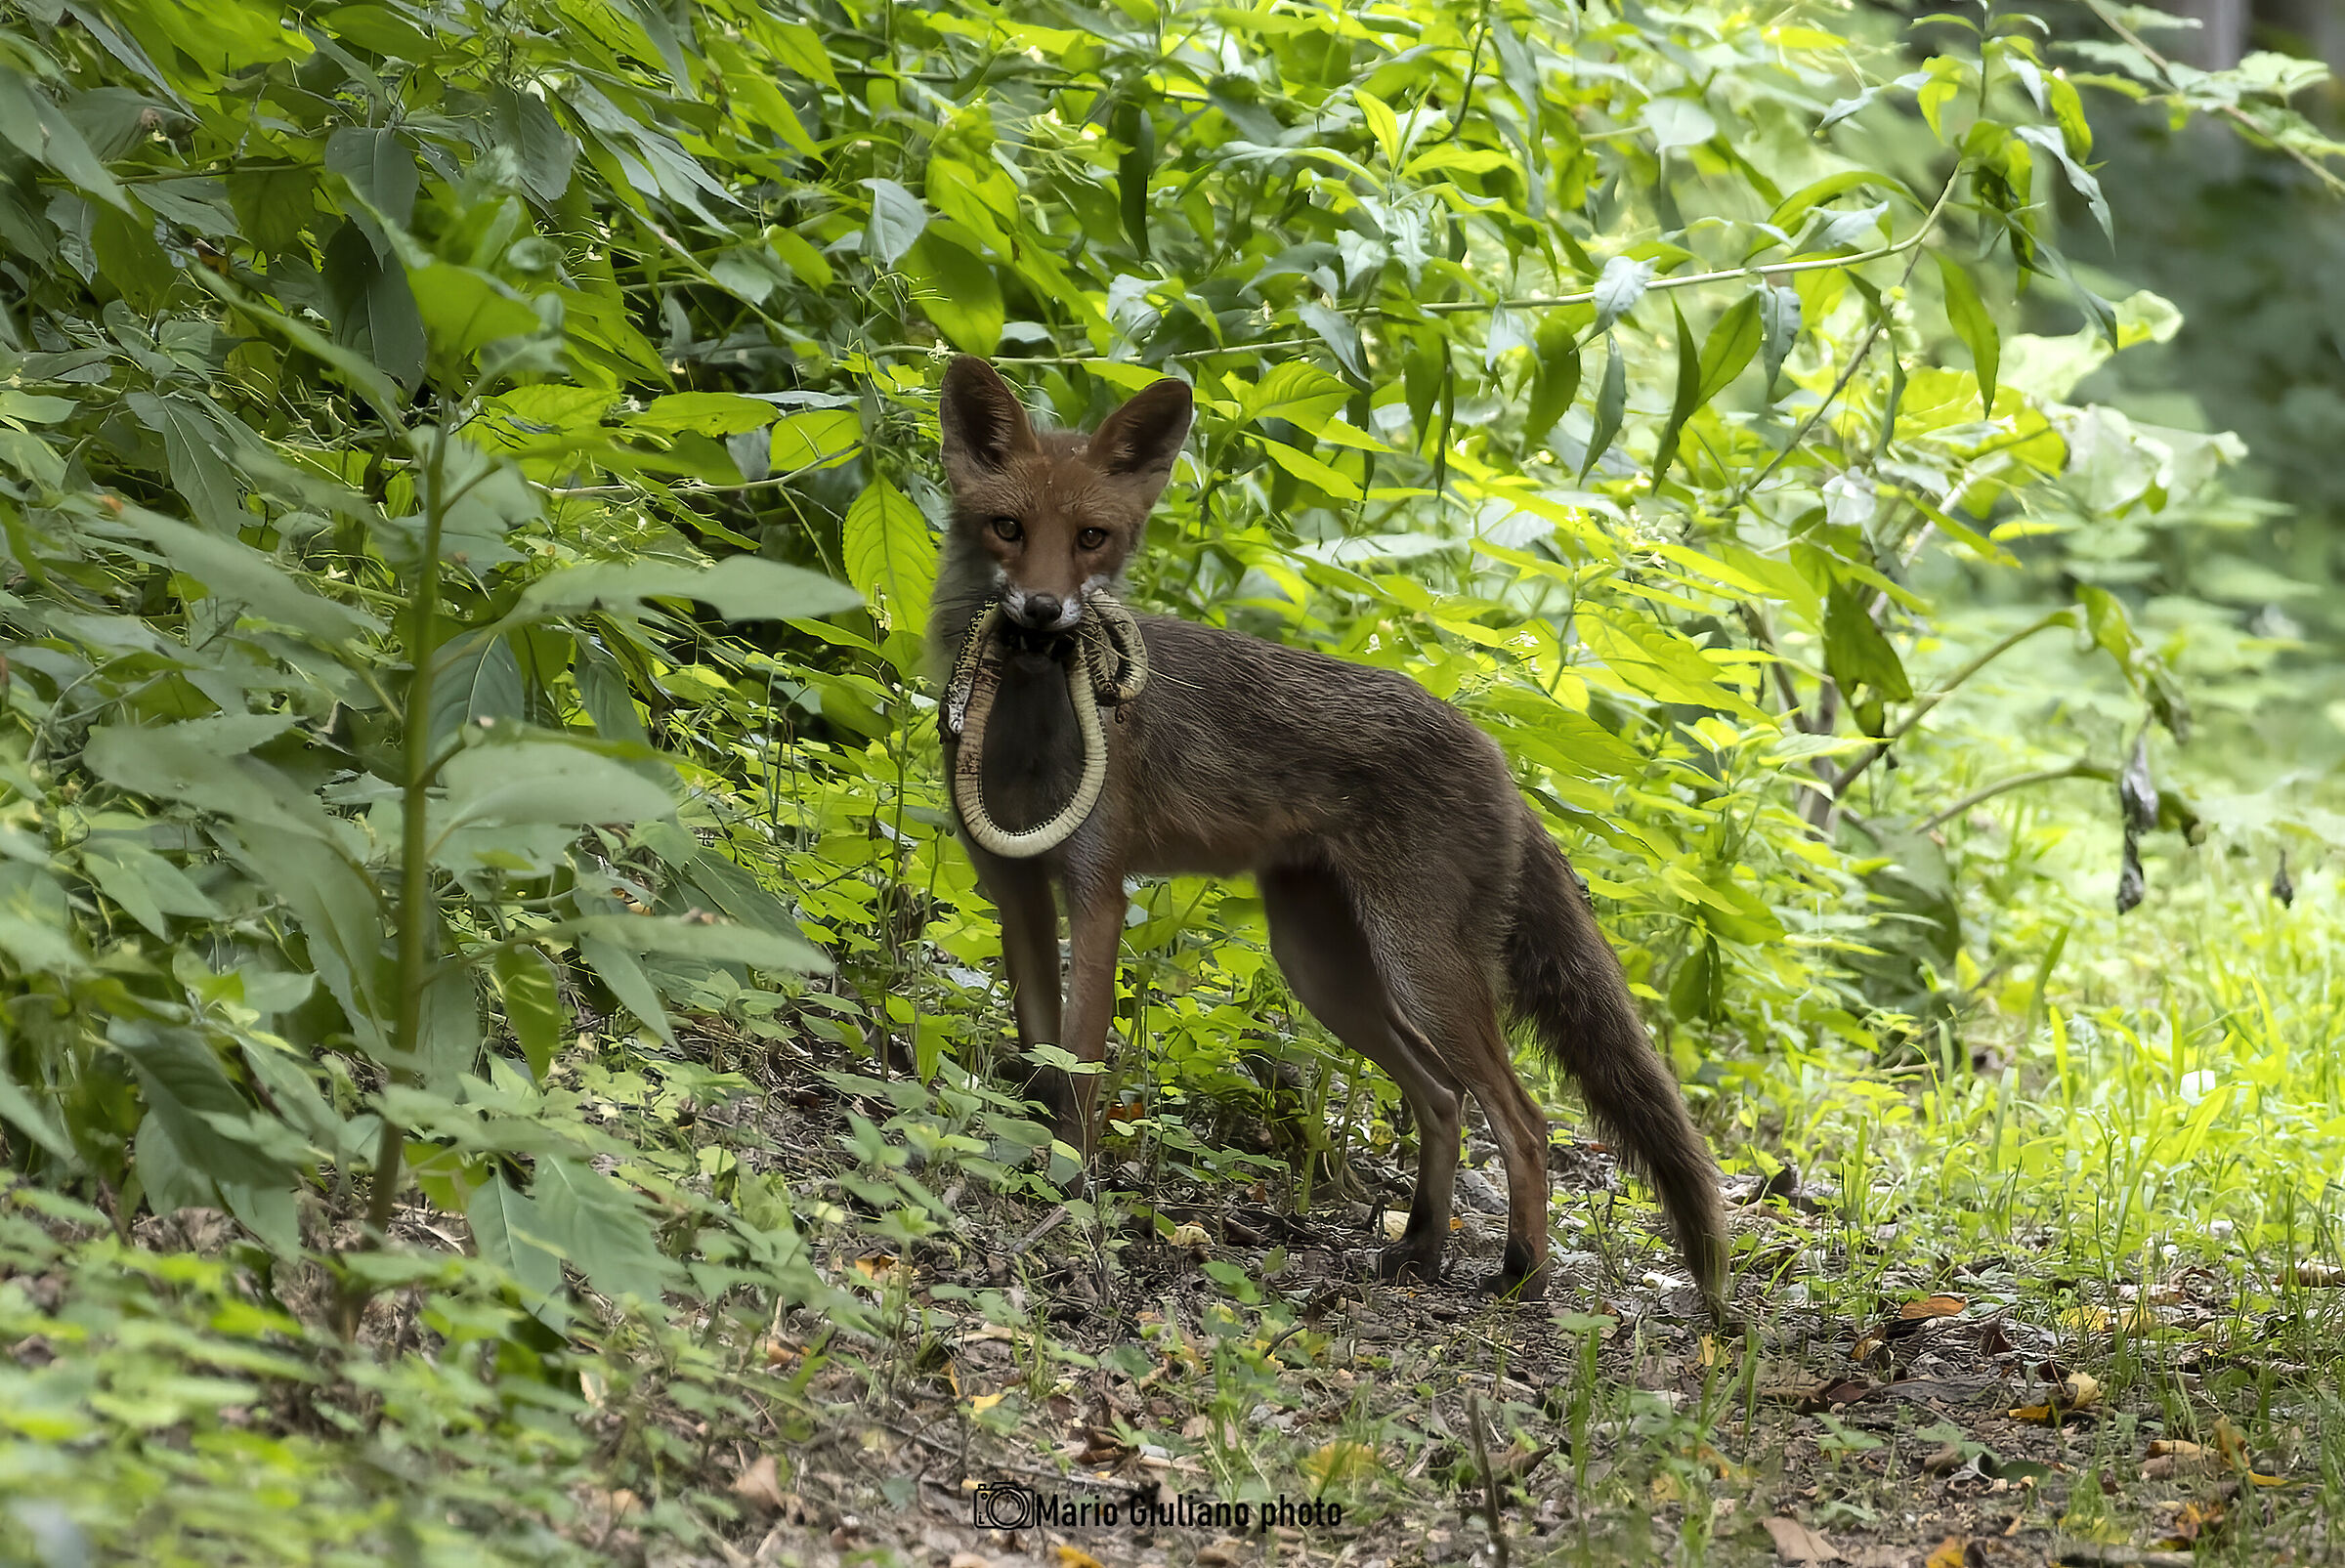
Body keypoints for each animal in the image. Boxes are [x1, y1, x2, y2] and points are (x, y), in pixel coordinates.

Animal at [929, 354, 1729, 1313]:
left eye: (1093, 537)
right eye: (1008, 527)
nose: (1045, 613)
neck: (1027, 732)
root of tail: (1498, 757)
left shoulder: (1097, 891)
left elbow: (1082, 1065)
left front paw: (1073, 1190)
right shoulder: (1013, 888)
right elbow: (1044, 1059)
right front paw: (1032, 1168)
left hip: (1419, 968)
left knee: (1523, 1117)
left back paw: (1522, 1275)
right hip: (1325, 968)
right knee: (1444, 1097)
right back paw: (1420, 1249)